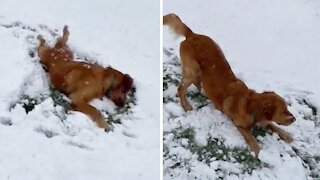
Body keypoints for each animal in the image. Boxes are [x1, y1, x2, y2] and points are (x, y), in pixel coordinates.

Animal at [164, 13, 296, 155]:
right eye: (284, 111)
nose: (294, 119)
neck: (251, 106)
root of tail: (192, 34)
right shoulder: (238, 124)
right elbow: (250, 136)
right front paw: (257, 149)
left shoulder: (264, 121)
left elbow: (273, 125)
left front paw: (286, 135)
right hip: (193, 70)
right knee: (181, 88)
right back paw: (186, 105)